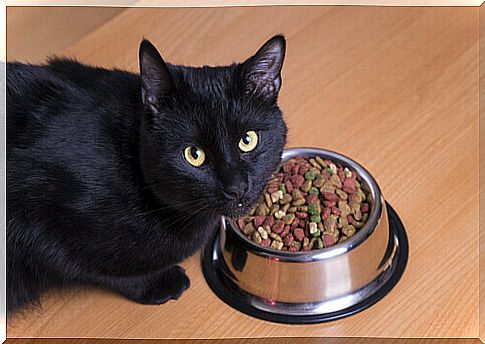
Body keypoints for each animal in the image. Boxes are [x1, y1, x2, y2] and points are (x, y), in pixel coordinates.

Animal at [6, 35, 288, 314]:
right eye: (194, 155)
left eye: (247, 140)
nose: (237, 187)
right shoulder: (37, 217)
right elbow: (93, 266)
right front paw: (159, 282)